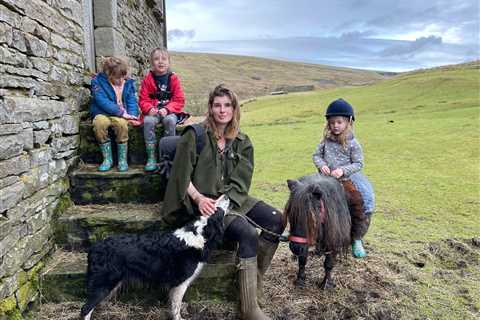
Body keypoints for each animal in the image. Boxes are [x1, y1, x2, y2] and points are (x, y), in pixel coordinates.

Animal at [79, 198, 230, 320]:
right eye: (216, 206)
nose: (227, 195)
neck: (198, 233)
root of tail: (95, 247)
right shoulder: (180, 283)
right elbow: (176, 307)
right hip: (103, 283)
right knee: (85, 309)